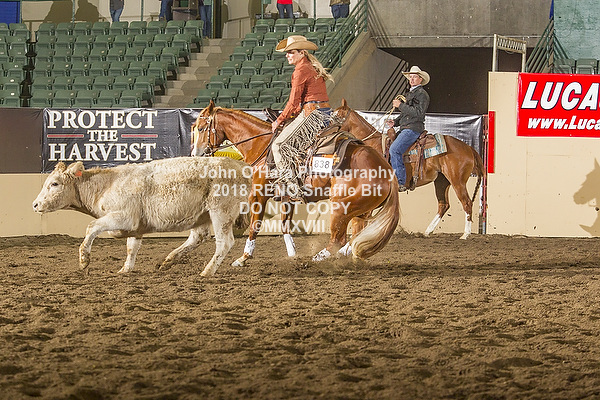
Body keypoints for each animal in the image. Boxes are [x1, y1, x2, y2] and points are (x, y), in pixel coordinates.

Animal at [32, 157, 252, 277]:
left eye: (54, 184)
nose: (35, 205)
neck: (106, 186)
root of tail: (242, 167)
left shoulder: (124, 217)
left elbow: (92, 227)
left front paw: (84, 260)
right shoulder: (136, 226)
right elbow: (132, 247)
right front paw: (125, 269)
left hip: (221, 211)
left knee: (224, 242)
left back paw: (207, 270)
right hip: (202, 214)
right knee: (198, 237)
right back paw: (168, 261)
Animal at [191, 101, 400, 267]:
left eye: (201, 128)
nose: (195, 154)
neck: (261, 145)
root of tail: (387, 171)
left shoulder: (258, 195)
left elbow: (255, 226)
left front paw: (244, 257)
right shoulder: (287, 197)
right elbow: (285, 226)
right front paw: (292, 255)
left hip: (341, 207)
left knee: (338, 240)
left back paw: (318, 259)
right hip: (361, 210)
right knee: (355, 234)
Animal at [334, 99, 485, 239]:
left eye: (336, 117)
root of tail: (468, 148)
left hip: (457, 181)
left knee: (466, 202)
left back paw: (465, 234)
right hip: (442, 181)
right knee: (443, 204)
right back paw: (428, 231)